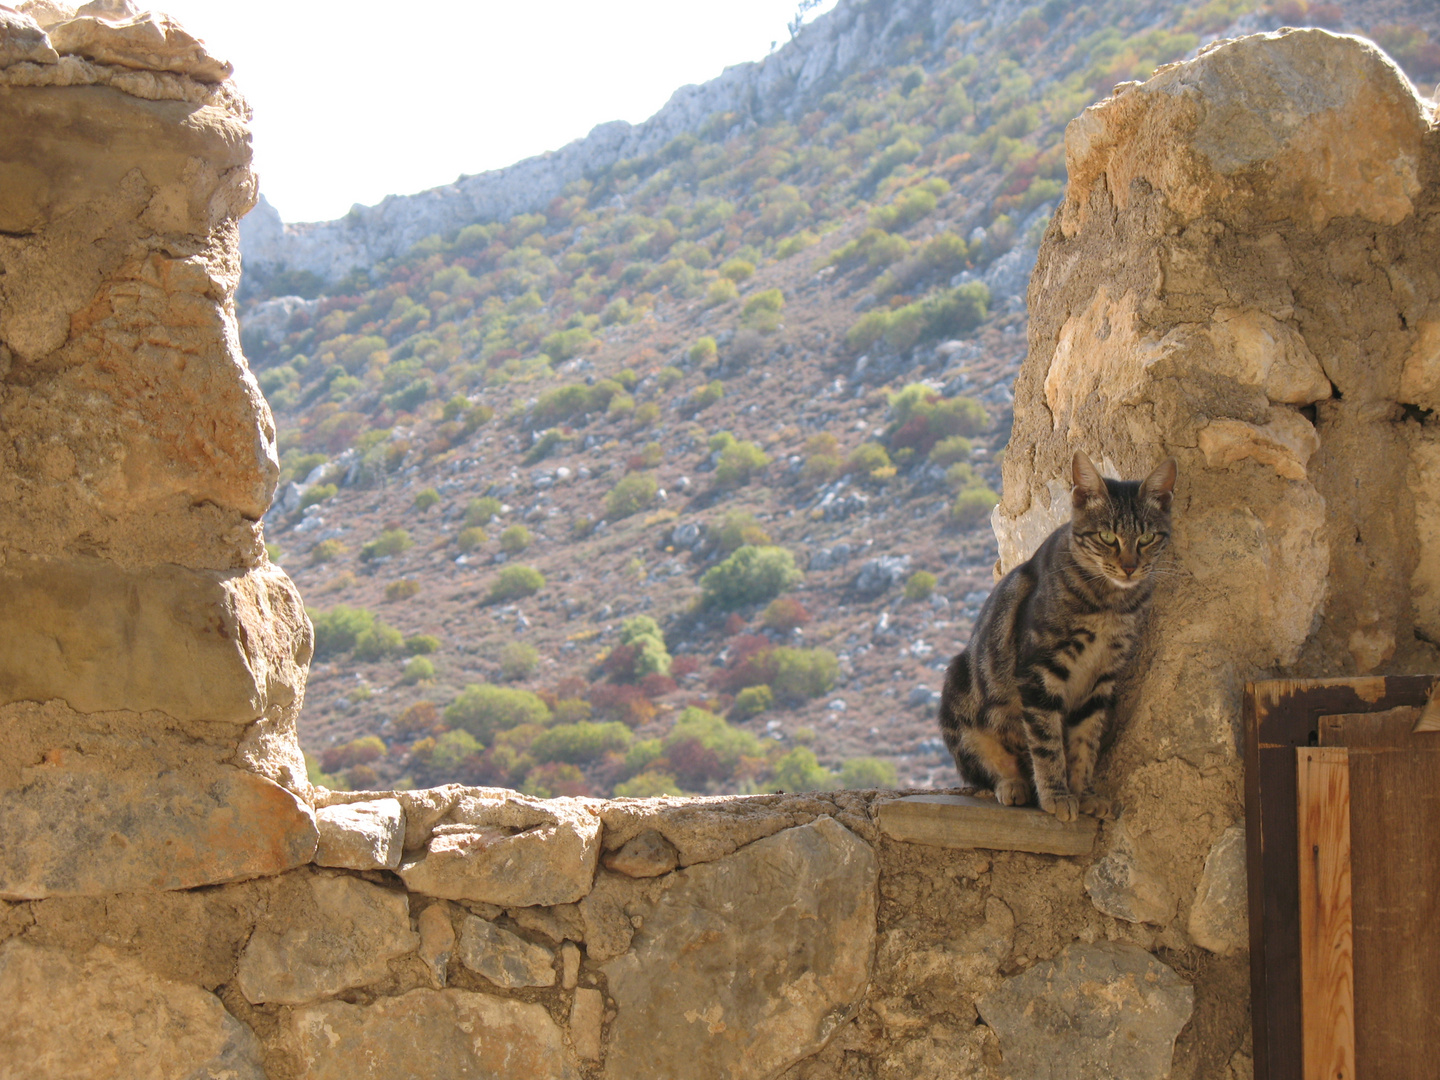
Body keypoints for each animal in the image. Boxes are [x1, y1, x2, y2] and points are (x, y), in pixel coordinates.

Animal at [933, 452, 1180, 823]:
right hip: (960, 691)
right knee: (987, 767)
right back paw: (1014, 785)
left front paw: (1084, 792)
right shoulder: (1040, 672)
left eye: (1147, 538)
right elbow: (1047, 743)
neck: (1110, 605)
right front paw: (1056, 795)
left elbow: (1084, 743)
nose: (1129, 567)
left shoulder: (1101, 680)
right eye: (1107, 537)